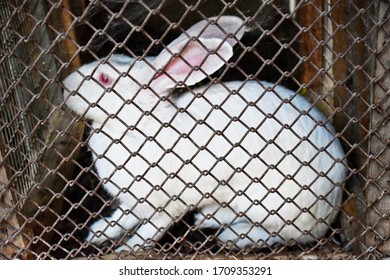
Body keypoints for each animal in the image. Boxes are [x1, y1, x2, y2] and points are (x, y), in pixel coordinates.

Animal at [63, 15, 348, 252]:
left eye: (104, 79)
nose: (65, 85)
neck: (138, 126)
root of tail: (330, 209)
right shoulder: (135, 200)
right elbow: (124, 217)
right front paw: (97, 233)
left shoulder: (166, 204)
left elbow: (151, 229)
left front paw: (128, 249)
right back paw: (206, 218)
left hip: (267, 202)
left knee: (283, 233)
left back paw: (231, 236)